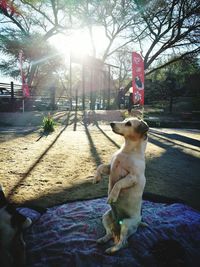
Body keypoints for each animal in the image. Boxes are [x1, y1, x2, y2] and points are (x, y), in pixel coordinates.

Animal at [94, 118, 148, 254]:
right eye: (124, 120)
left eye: (128, 123)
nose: (111, 123)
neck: (127, 152)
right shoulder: (110, 167)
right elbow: (100, 166)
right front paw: (96, 178)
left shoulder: (132, 177)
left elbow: (118, 183)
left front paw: (112, 196)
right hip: (106, 217)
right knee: (109, 233)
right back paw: (103, 239)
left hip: (126, 224)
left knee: (124, 243)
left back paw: (112, 249)